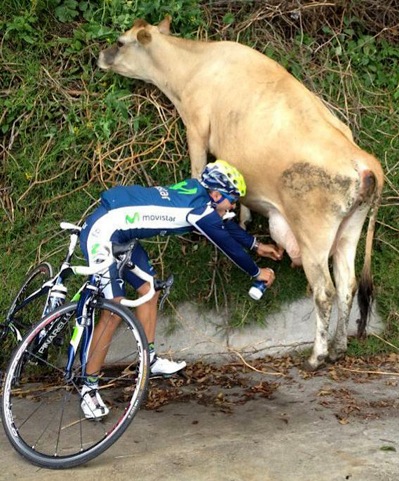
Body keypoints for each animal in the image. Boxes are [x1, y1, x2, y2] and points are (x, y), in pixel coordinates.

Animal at [97, 14, 384, 368]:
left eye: (120, 42)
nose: (100, 55)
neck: (194, 65)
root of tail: (364, 161)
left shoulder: (196, 126)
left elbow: (197, 169)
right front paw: (243, 220)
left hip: (314, 235)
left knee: (325, 291)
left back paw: (317, 355)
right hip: (349, 231)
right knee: (347, 286)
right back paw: (339, 347)